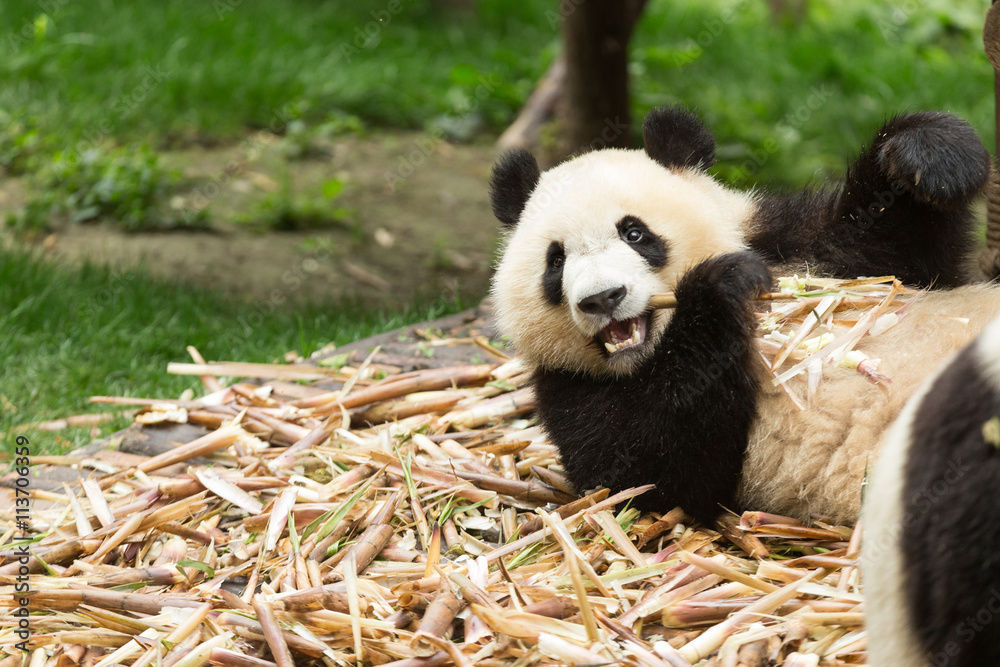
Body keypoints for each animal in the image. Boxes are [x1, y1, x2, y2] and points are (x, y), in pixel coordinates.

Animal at [488, 105, 1000, 523]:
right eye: (556, 261)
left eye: (634, 233)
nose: (602, 298)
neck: (652, 351)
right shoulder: (570, 384)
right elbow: (649, 472)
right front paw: (721, 283)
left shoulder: (804, 248)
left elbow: (902, 255)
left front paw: (931, 159)